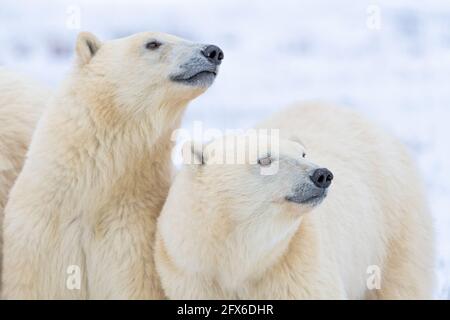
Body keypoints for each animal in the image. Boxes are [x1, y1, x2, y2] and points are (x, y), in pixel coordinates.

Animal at [156, 103, 436, 300]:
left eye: (302, 153)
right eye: (265, 159)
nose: (322, 175)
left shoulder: (296, 264)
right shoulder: (193, 273)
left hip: (393, 226)